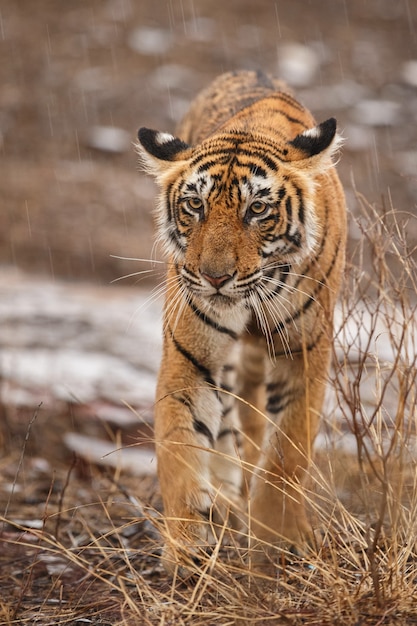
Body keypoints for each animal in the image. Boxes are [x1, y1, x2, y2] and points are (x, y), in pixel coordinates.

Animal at [136, 69, 344, 576]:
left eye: (257, 209)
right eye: (195, 206)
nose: (214, 277)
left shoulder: (305, 354)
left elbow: (287, 452)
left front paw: (276, 537)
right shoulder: (191, 358)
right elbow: (181, 446)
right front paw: (186, 547)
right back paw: (227, 500)